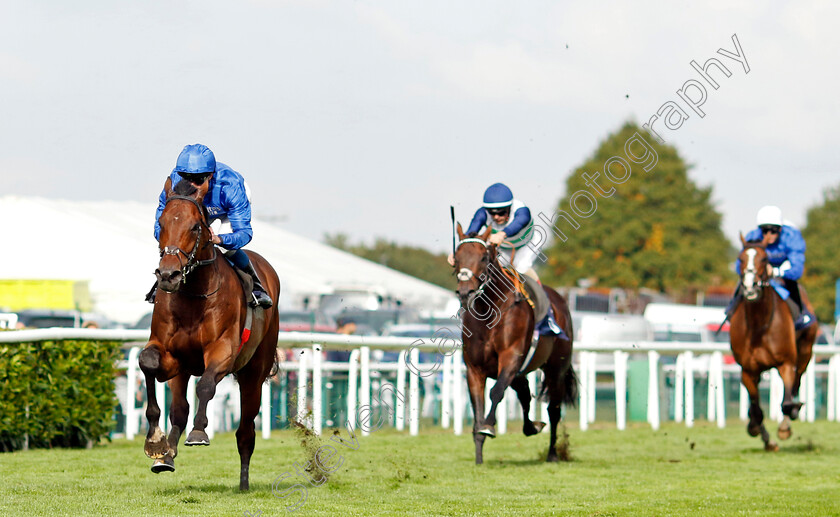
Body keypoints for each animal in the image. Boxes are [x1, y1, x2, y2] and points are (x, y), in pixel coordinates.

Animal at [139, 176, 280, 488]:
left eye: (195, 226)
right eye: (161, 223)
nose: (168, 275)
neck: (193, 294)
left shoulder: (223, 351)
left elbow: (205, 385)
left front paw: (199, 432)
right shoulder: (171, 356)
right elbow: (148, 363)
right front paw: (156, 441)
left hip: (254, 373)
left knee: (245, 431)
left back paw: (243, 483)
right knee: (179, 411)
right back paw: (167, 456)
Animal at [452, 225, 576, 464]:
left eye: (483, 257)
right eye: (456, 257)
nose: (465, 293)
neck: (490, 312)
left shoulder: (510, 357)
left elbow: (496, 392)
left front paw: (489, 427)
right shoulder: (474, 369)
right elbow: (478, 407)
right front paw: (479, 457)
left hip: (555, 370)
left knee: (554, 410)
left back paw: (553, 454)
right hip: (520, 373)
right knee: (526, 397)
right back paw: (532, 427)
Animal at [732, 232, 816, 450]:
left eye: (764, 259)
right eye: (740, 259)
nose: (750, 287)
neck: (759, 325)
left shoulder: (786, 363)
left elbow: (786, 402)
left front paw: (785, 425)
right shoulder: (748, 370)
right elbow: (756, 409)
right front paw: (761, 435)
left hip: (805, 352)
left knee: (795, 384)